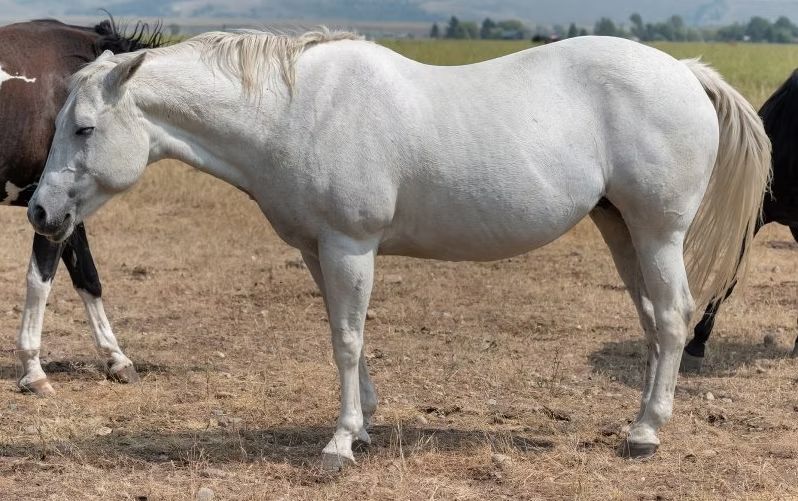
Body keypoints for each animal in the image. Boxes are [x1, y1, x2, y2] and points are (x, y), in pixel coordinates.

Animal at [0, 18, 162, 394]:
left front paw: (117, 359)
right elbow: (40, 280)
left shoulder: (65, 214)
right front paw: (33, 371)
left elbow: (88, 277)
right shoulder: (46, 211)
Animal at [27, 31, 770, 470]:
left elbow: (348, 338)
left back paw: (645, 434)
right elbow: (342, 332)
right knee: (651, 320)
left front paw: (339, 443)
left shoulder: (350, 246)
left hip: (659, 233)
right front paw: (362, 425)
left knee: (671, 319)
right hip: (621, 229)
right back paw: (640, 419)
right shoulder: (318, 249)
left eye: (84, 127)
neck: (296, 111)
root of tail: (685, 71)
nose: (40, 211)